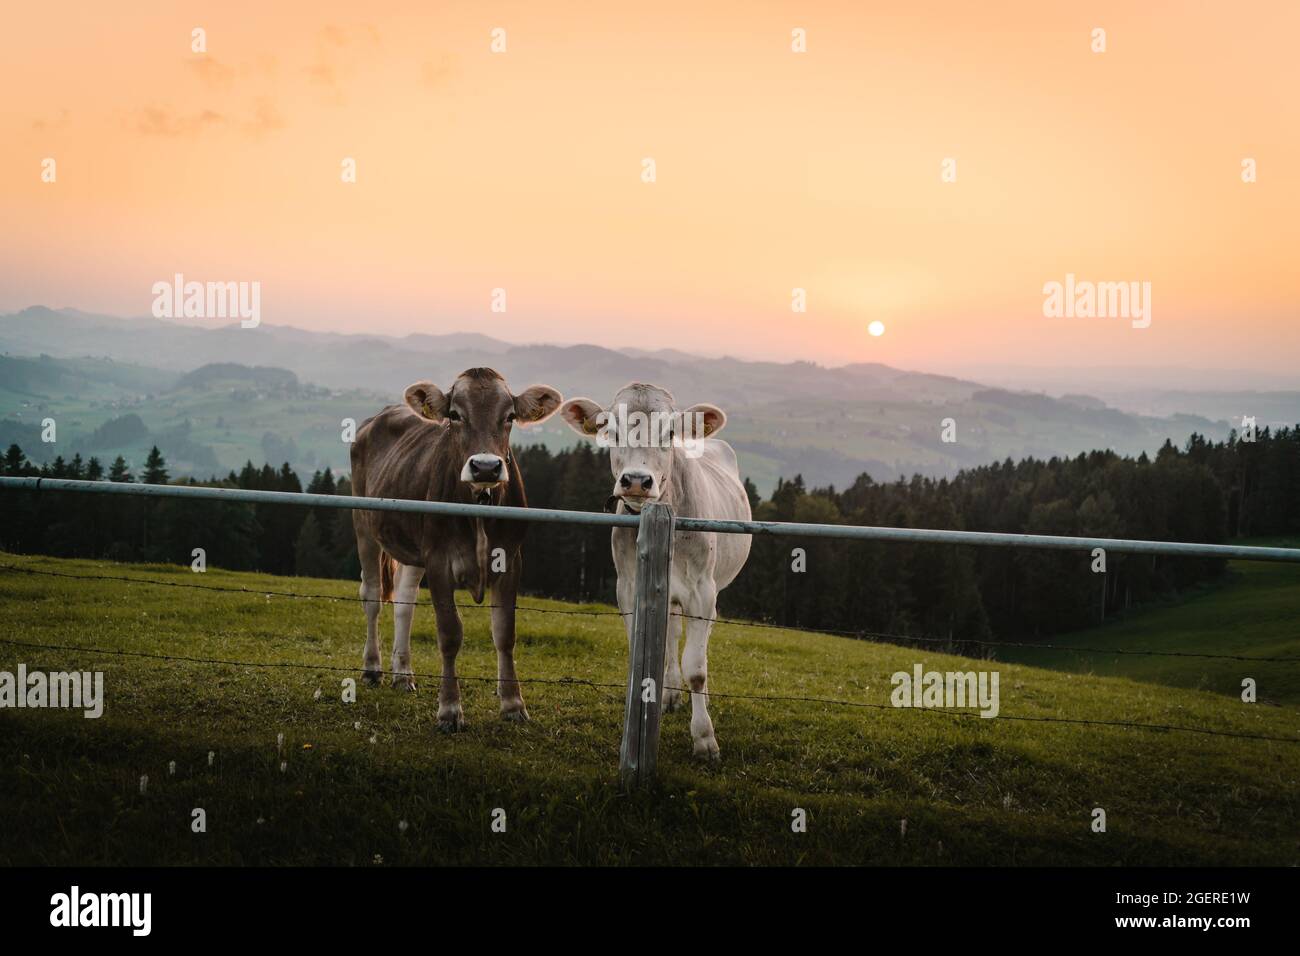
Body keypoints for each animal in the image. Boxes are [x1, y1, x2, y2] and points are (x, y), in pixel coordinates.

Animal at [348, 369, 561, 733]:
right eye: (455, 415)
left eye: (510, 416)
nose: (486, 467)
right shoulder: (439, 561)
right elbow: (449, 634)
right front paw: (449, 710)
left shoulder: (511, 559)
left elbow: (505, 633)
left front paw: (513, 704)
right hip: (364, 525)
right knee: (373, 596)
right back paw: (373, 668)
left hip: (414, 547)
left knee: (404, 602)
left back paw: (403, 674)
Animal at [559, 382, 754, 764]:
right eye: (611, 430)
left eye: (671, 433)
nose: (637, 480)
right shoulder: (628, 588)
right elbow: (645, 653)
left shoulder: (702, 592)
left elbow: (697, 668)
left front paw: (705, 738)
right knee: (670, 634)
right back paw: (669, 693)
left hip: (711, 590)